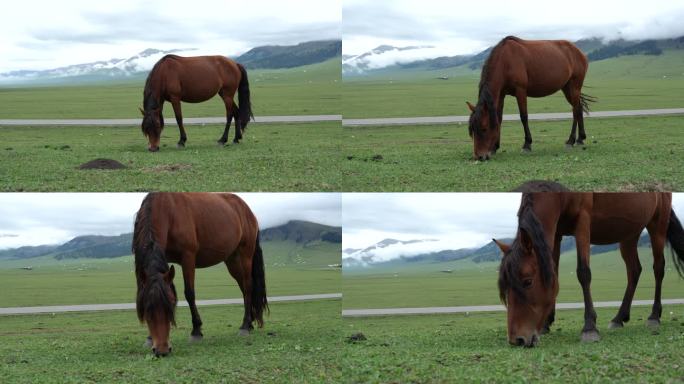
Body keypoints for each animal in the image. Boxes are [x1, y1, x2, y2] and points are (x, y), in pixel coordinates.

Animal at [132, 192, 268, 356]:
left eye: (171, 304)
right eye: (146, 308)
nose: (162, 350)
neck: (168, 211)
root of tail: (247, 210)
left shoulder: (188, 256)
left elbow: (189, 293)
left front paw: (196, 331)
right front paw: (149, 338)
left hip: (245, 255)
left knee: (248, 287)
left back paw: (245, 326)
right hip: (233, 260)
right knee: (244, 288)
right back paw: (250, 322)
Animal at [468, 36, 596, 160]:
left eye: (484, 128)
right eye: (472, 129)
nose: (479, 156)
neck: (505, 61)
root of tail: (579, 52)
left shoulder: (520, 91)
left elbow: (523, 117)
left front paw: (527, 144)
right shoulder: (501, 94)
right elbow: (498, 119)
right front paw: (495, 147)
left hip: (574, 87)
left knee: (575, 111)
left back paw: (571, 140)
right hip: (567, 88)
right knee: (579, 108)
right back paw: (580, 139)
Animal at [494, 194, 684, 346]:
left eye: (527, 281)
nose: (517, 339)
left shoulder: (583, 221)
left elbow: (583, 273)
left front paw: (589, 327)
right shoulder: (557, 232)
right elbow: (554, 271)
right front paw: (547, 323)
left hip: (657, 225)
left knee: (658, 268)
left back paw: (654, 316)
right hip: (629, 232)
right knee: (634, 270)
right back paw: (619, 318)